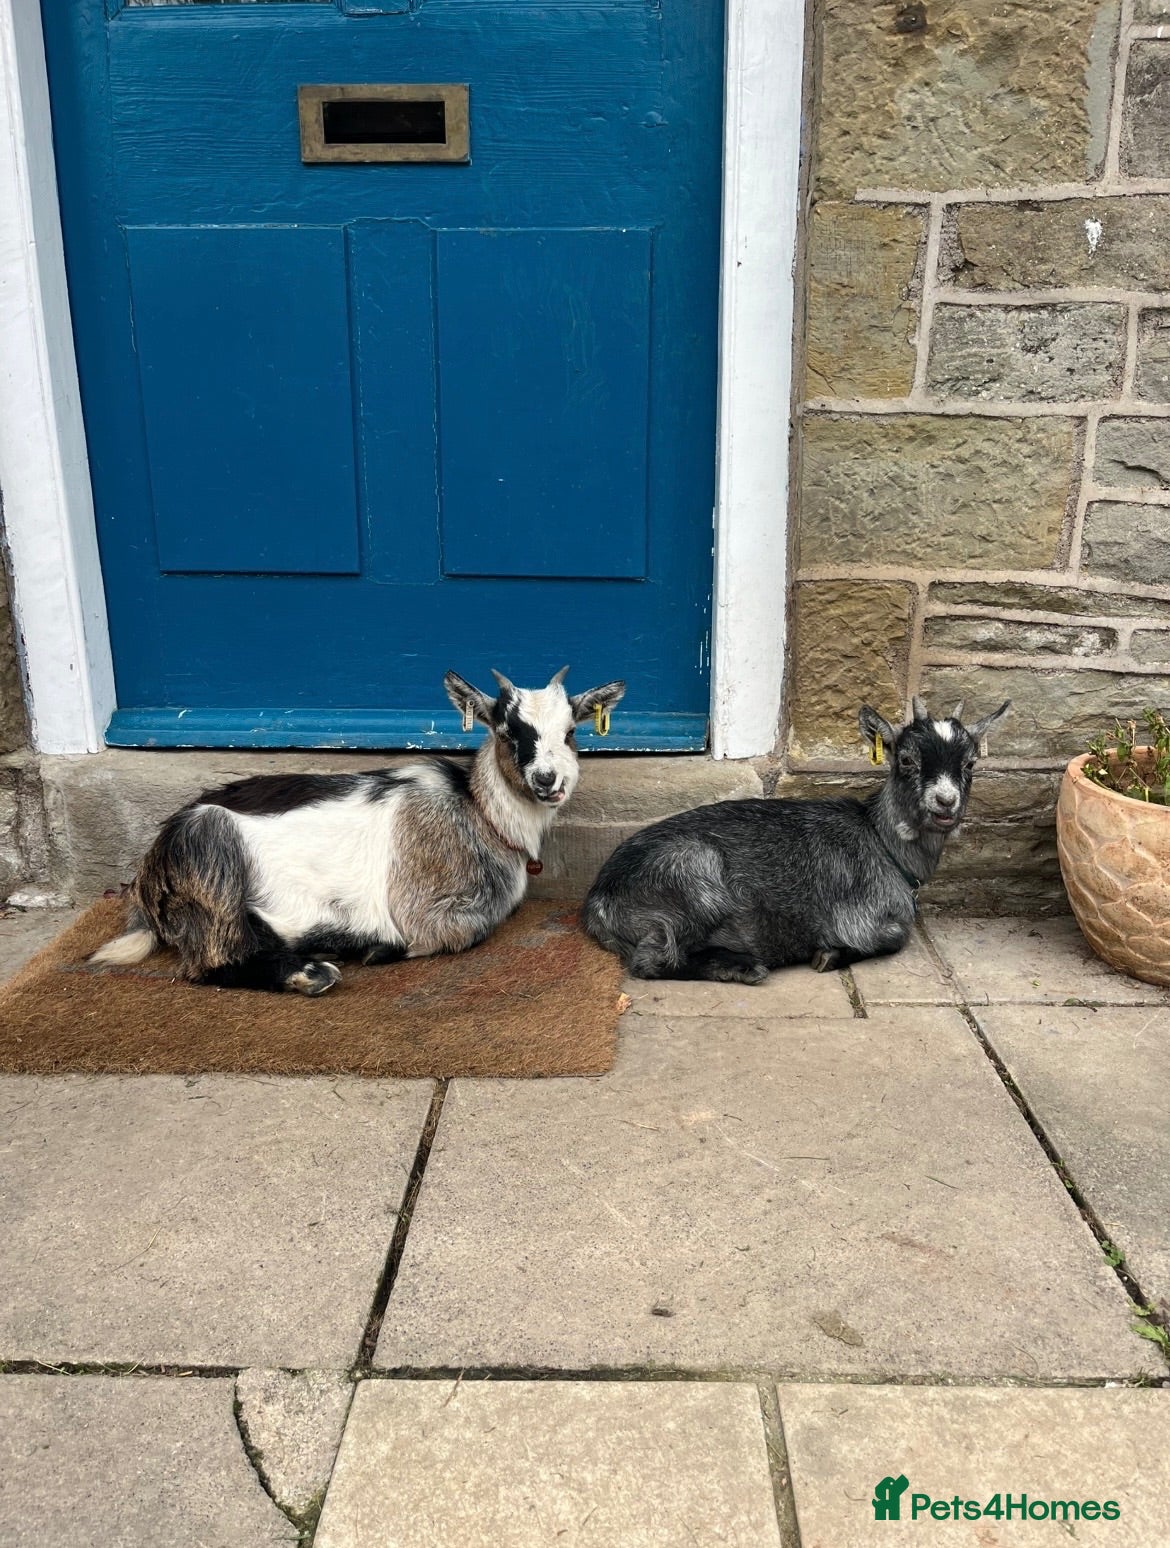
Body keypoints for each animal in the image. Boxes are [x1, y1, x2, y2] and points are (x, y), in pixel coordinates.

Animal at [90, 667, 625, 994]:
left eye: (571, 733)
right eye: (509, 731)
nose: (548, 780)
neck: (478, 814)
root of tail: (149, 869)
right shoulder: (424, 908)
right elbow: (450, 933)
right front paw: (373, 945)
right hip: (211, 855)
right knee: (211, 960)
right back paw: (312, 970)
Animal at [582, 696, 1010, 982]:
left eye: (970, 762)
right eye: (905, 759)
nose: (945, 803)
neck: (881, 842)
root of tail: (598, 902)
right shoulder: (861, 919)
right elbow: (894, 938)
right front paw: (828, 955)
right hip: (696, 879)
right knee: (653, 961)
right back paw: (744, 966)